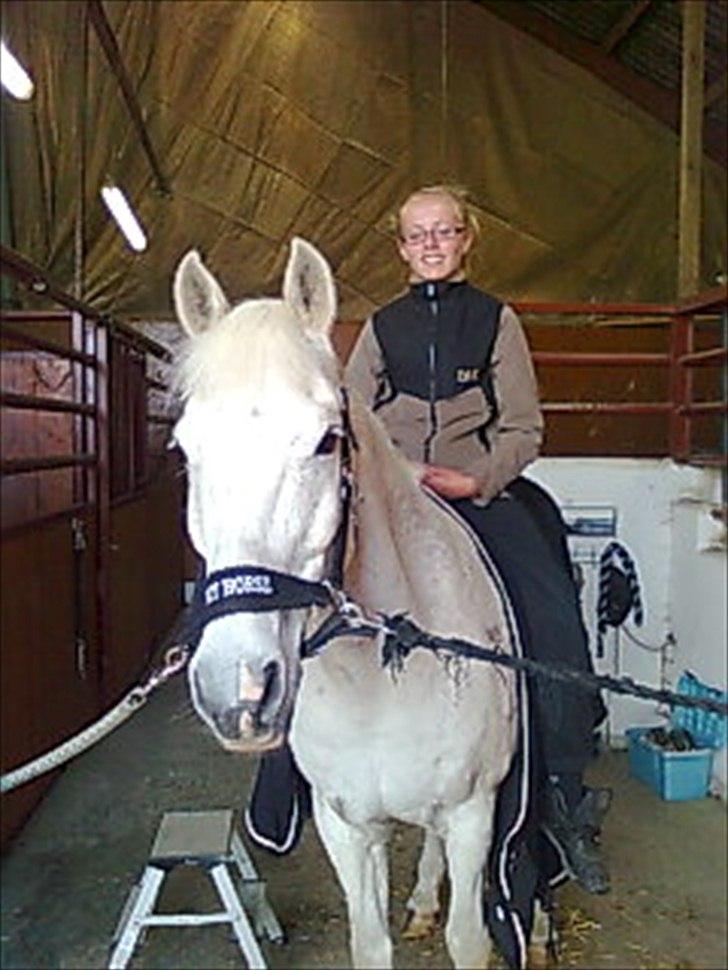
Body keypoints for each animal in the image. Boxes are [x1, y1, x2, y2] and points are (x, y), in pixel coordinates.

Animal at [171, 238, 526, 969]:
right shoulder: (347, 827)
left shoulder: (475, 816)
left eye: (325, 440)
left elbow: (468, 938)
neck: (380, 681)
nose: (239, 689)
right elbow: (370, 941)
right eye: (185, 449)